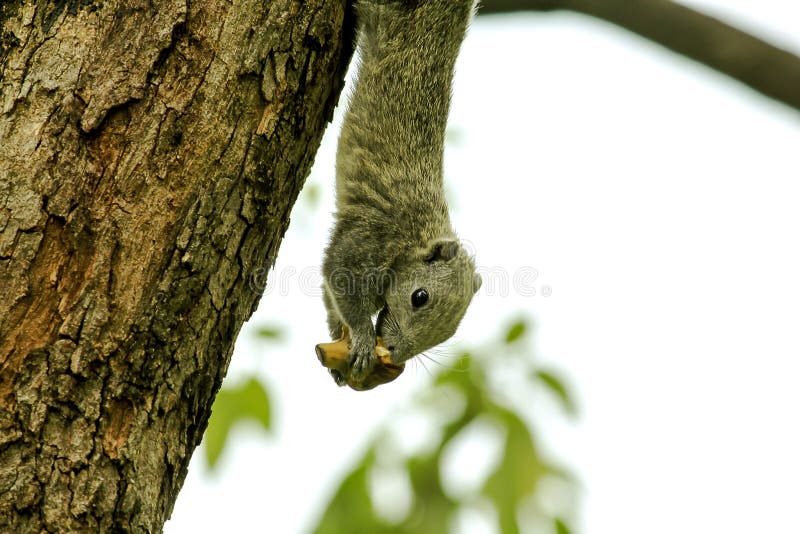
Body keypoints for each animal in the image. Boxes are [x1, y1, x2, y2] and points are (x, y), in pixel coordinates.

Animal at [321, 0, 481, 389]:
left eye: (450, 332)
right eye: (419, 297)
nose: (394, 353)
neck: (415, 240)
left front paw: (338, 335)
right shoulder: (369, 240)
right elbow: (336, 276)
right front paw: (362, 339)